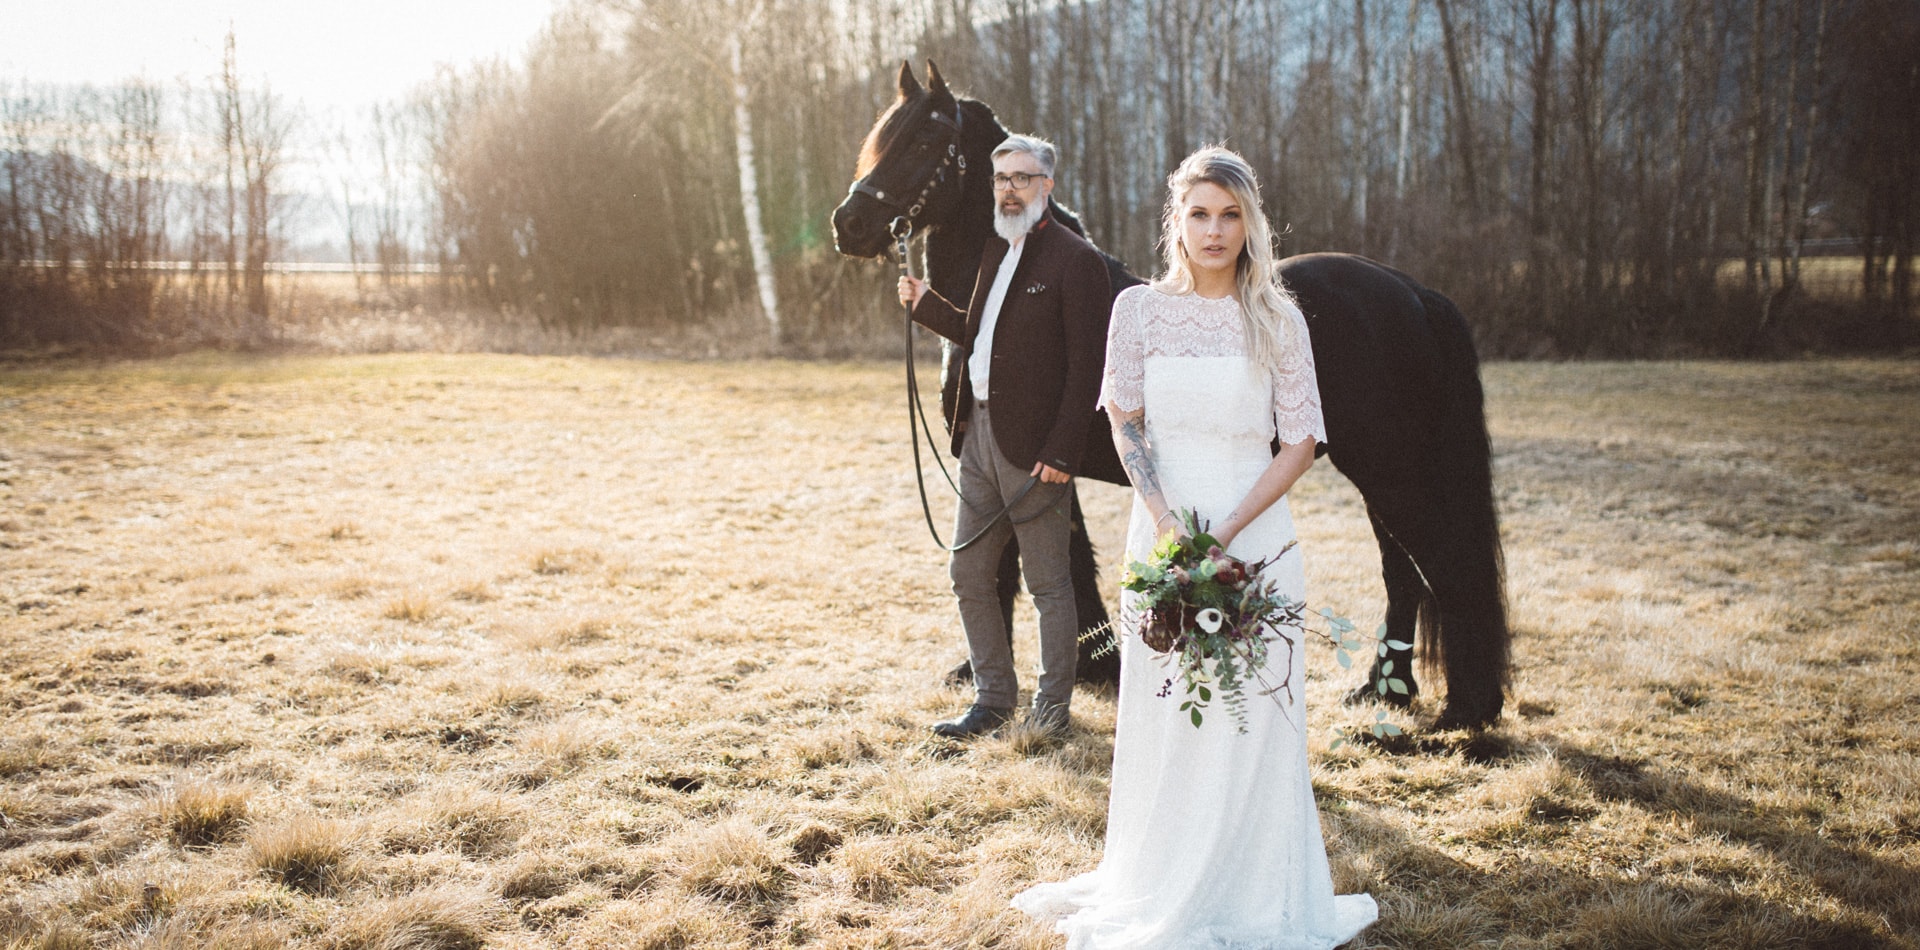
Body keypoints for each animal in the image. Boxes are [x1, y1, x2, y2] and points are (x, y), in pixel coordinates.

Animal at [832, 62, 1509, 730]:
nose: (849, 224)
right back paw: (1384, 690)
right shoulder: (1030, 469)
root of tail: (1415, 294)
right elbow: (1054, 562)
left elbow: (1019, 566)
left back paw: (1465, 710)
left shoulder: (1033, 461)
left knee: (1442, 567)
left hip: (1390, 470)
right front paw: (1094, 663)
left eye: (925, 140)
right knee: (1404, 574)